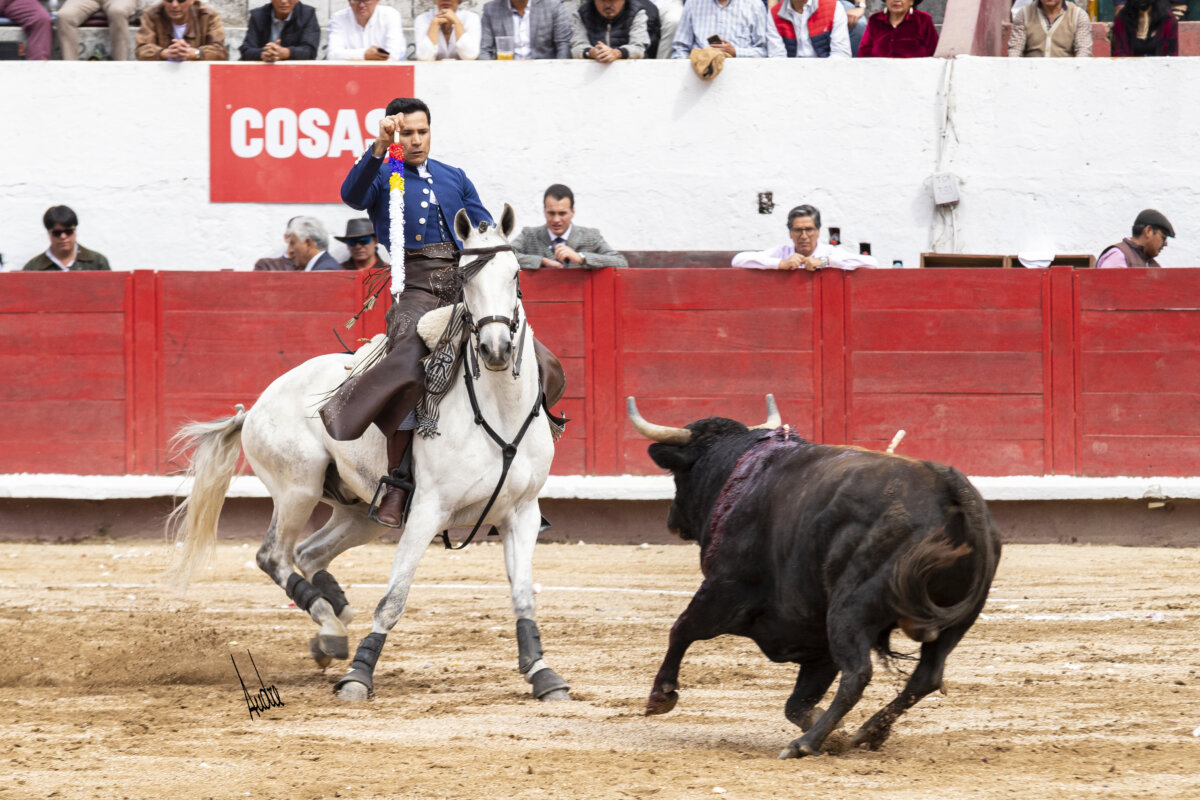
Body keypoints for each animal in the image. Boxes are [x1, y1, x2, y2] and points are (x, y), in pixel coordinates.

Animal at [166, 205, 570, 703]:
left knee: (310, 553)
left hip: (360, 511)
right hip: (297, 489)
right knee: (274, 556)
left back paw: (332, 622)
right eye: (466, 279)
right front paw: (360, 675)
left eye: (515, 275)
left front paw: (542, 673)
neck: (499, 410)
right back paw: (331, 630)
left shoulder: (522, 513)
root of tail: (257, 404)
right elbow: (393, 599)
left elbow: (523, 595)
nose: (495, 349)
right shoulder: (428, 511)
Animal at [627, 395, 1001, 759]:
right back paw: (868, 731)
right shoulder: (814, 638)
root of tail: (946, 484)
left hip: (848, 610)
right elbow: (797, 703)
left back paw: (804, 744)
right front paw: (839, 733)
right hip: (955, 622)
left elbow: (681, 629)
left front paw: (661, 696)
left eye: (678, 475)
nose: (672, 520)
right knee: (926, 677)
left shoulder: (722, 589)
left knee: (858, 673)